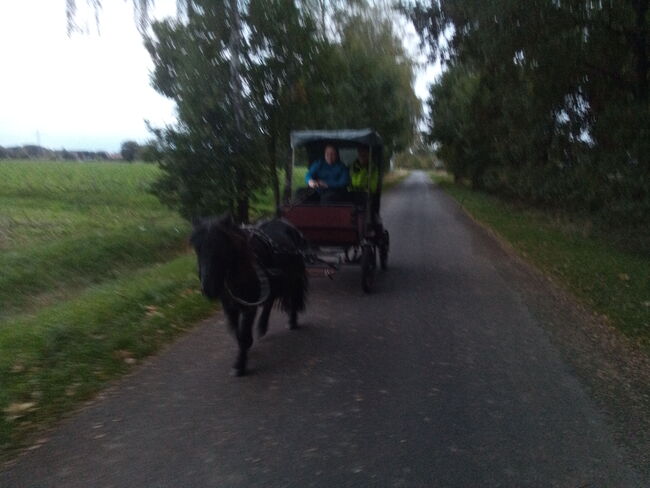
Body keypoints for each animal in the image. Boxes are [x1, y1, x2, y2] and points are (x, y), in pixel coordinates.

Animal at [189, 215, 308, 376]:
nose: (208, 289)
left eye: (221, 246)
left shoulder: (249, 307)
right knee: (270, 301)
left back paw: (292, 321)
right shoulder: (229, 307)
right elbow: (236, 331)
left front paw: (239, 365)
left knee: (293, 295)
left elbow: (244, 332)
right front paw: (245, 348)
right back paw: (262, 326)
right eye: (197, 248)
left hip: (293, 277)